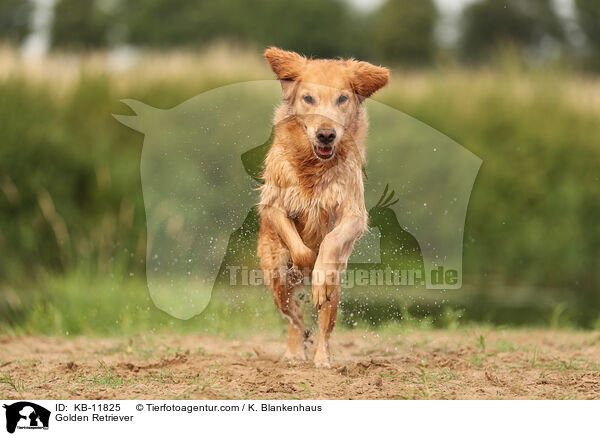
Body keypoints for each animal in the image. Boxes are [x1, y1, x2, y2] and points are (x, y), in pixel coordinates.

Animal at [256, 47, 390, 368]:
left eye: (342, 98)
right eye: (308, 98)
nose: (326, 134)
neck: (313, 165)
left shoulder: (353, 213)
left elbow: (330, 241)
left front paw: (318, 273)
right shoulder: (273, 203)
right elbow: (301, 249)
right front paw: (305, 263)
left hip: (336, 288)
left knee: (324, 322)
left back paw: (321, 358)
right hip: (275, 277)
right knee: (295, 318)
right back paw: (294, 353)